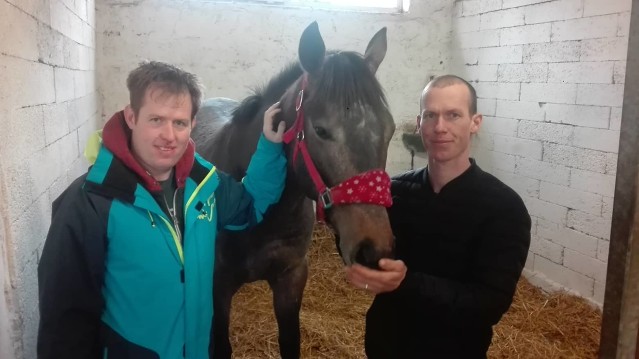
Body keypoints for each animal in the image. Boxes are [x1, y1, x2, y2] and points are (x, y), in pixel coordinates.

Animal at [192, 23, 398, 359]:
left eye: (389, 129)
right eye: (321, 130)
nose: (373, 249)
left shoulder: (291, 278)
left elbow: (290, 342)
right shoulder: (216, 287)